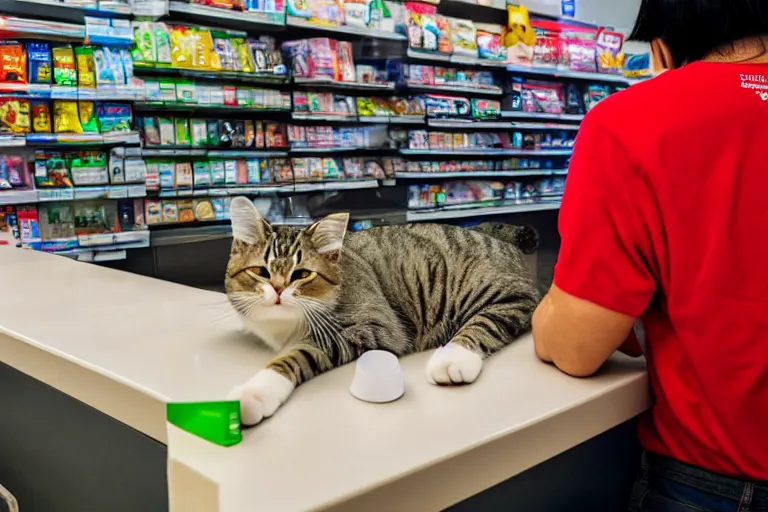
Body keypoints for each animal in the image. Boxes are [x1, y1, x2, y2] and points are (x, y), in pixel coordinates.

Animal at [225, 198, 540, 426]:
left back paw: (454, 357)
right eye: (260, 271)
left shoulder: (370, 325)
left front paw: (255, 392)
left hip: (506, 293)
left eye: (302, 274)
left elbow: (297, 354)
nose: (278, 290)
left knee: (490, 319)